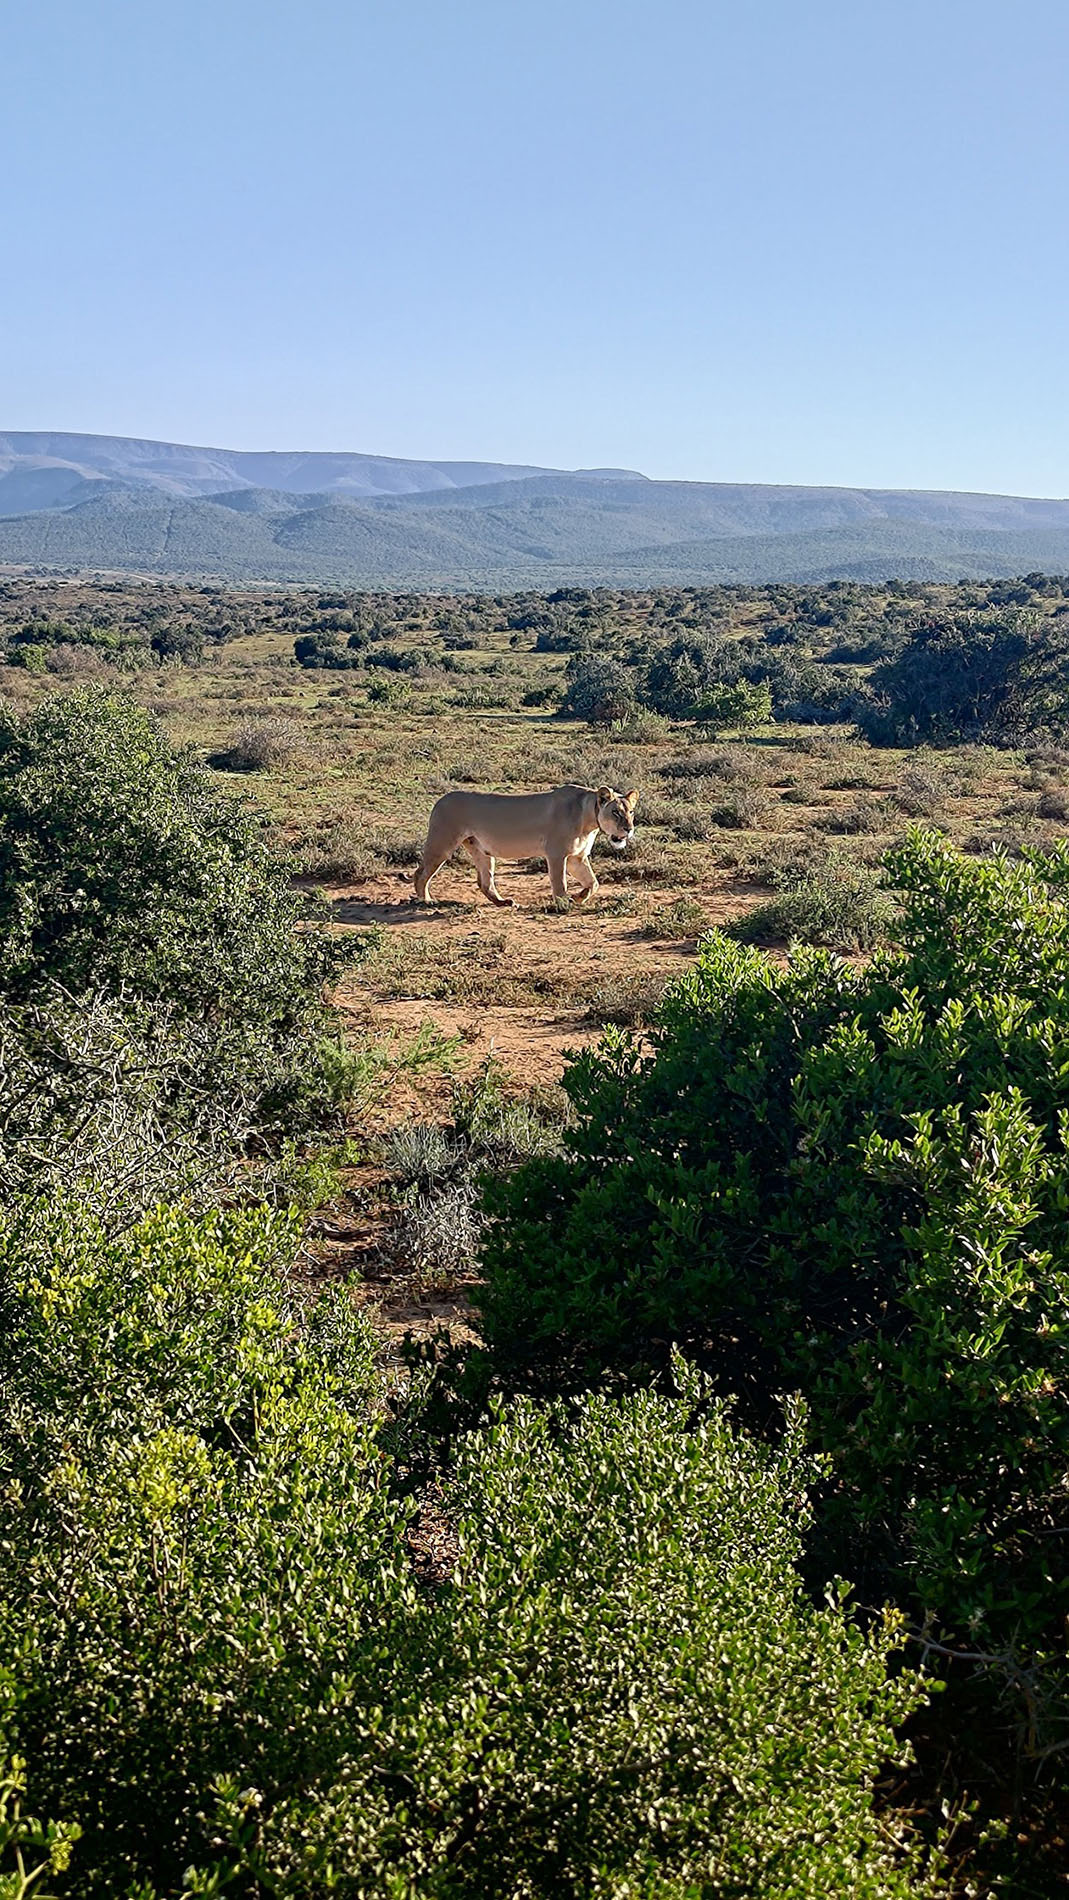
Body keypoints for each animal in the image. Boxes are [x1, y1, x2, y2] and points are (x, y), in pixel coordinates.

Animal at [412, 783, 639, 907]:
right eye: (616, 812)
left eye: (631, 812)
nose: (628, 829)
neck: (589, 818)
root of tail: (441, 799)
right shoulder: (556, 854)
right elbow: (560, 883)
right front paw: (564, 903)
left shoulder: (577, 857)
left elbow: (593, 883)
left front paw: (579, 897)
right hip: (442, 843)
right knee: (420, 873)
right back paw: (426, 901)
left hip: (482, 851)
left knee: (485, 882)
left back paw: (504, 902)